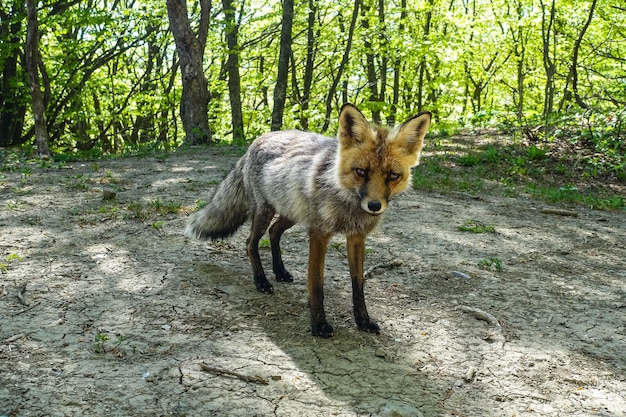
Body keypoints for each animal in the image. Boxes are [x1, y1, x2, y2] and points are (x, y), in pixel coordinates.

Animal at [185, 104, 428, 338]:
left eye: (392, 175)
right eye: (361, 171)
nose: (374, 206)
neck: (345, 201)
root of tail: (257, 140)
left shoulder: (357, 237)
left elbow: (358, 285)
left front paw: (363, 321)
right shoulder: (319, 234)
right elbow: (317, 285)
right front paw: (319, 325)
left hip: (291, 213)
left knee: (274, 233)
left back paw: (280, 272)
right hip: (265, 212)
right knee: (250, 243)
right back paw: (261, 281)